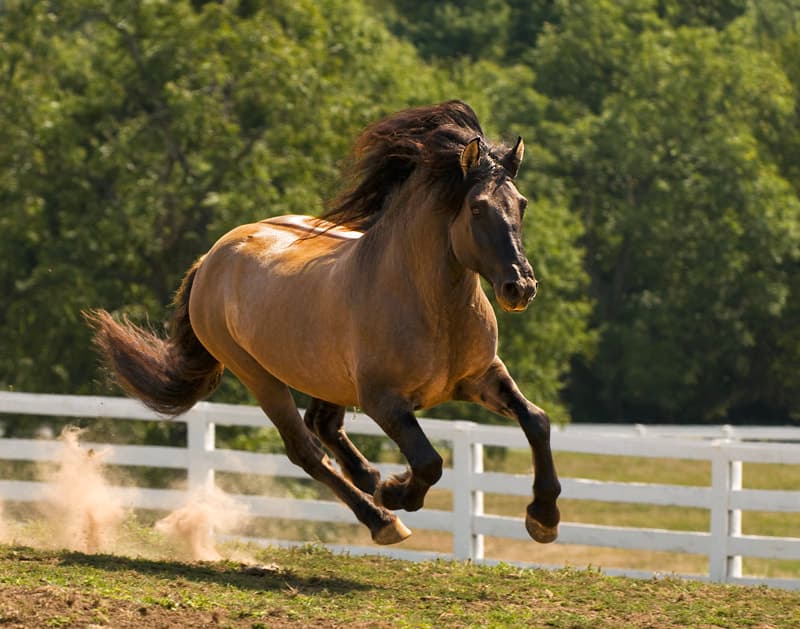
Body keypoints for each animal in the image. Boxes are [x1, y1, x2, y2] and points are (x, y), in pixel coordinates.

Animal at [87, 100, 564, 544]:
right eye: (478, 209)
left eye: (521, 204)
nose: (520, 287)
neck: (431, 309)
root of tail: (212, 258)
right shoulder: (383, 402)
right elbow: (429, 462)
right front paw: (397, 492)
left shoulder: (481, 376)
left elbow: (536, 420)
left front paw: (543, 517)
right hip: (259, 377)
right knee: (306, 449)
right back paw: (381, 518)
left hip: (324, 375)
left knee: (323, 425)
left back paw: (369, 477)